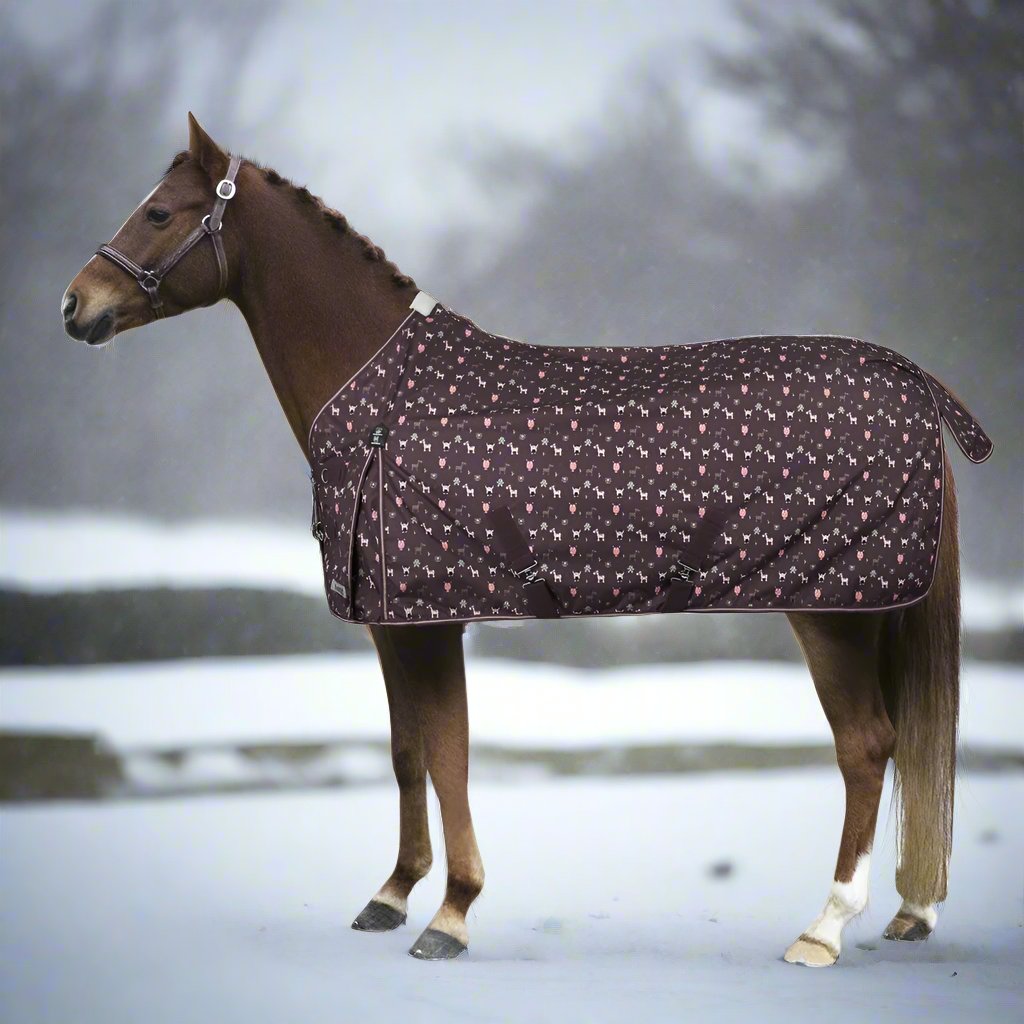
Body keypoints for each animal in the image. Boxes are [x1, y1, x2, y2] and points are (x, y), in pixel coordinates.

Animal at [63, 114, 966, 965]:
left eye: (160, 211)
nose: (75, 304)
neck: (387, 401)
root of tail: (910, 381)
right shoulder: (392, 625)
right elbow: (407, 754)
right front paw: (391, 895)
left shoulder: (434, 623)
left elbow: (450, 757)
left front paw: (451, 915)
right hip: (867, 610)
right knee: (899, 743)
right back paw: (910, 912)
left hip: (832, 614)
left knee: (866, 747)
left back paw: (823, 930)